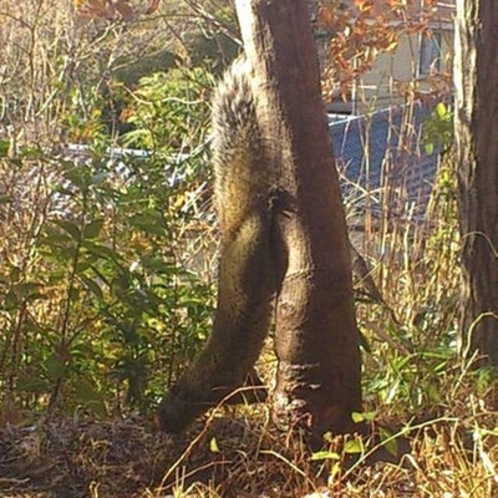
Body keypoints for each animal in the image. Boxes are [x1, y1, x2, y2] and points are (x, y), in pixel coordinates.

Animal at [159, 56, 278, 434]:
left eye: (168, 409)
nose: (162, 424)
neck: (198, 384)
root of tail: (234, 227)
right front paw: (260, 394)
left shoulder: (221, 381)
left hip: (252, 248)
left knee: (261, 226)